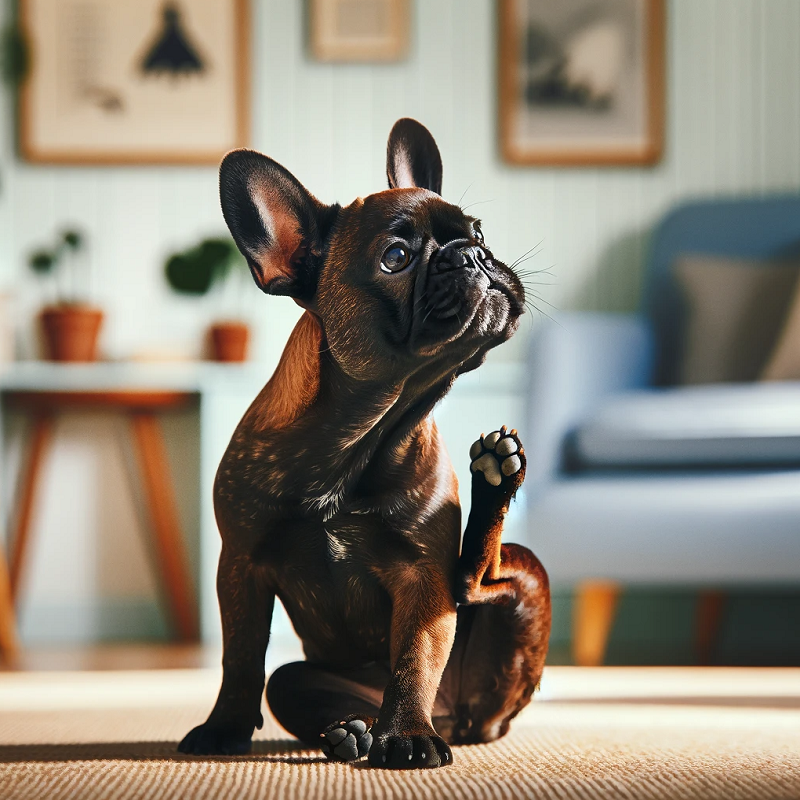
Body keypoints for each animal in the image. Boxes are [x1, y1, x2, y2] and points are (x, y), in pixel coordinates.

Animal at [179, 119, 552, 768]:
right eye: (395, 258)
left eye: (480, 231)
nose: (474, 254)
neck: (361, 435)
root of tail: (457, 720)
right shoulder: (241, 565)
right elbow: (240, 658)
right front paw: (224, 727)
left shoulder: (424, 577)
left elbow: (414, 658)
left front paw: (405, 735)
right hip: (299, 679)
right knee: (291, 684)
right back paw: (351, 731)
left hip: (523, 577)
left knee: (474, 580)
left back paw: (496, 477)